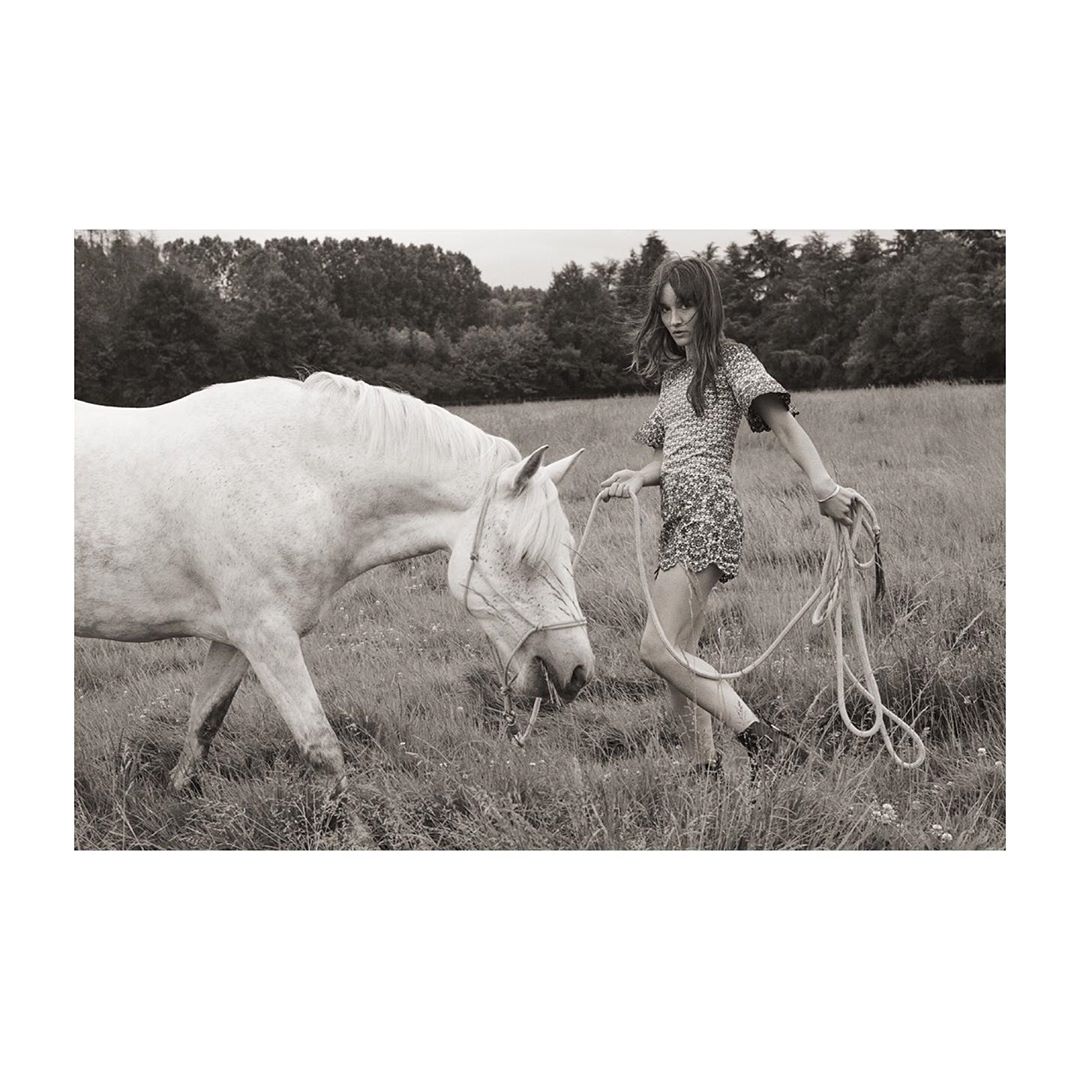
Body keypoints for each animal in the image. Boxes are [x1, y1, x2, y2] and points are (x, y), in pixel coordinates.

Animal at [75, 372, 595, 796]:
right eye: (526, 557)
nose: (577, 672)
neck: (303, 479)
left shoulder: (235, 641)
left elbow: (203, 723)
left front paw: (180, 795)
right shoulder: (269, 639)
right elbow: (323, 749)